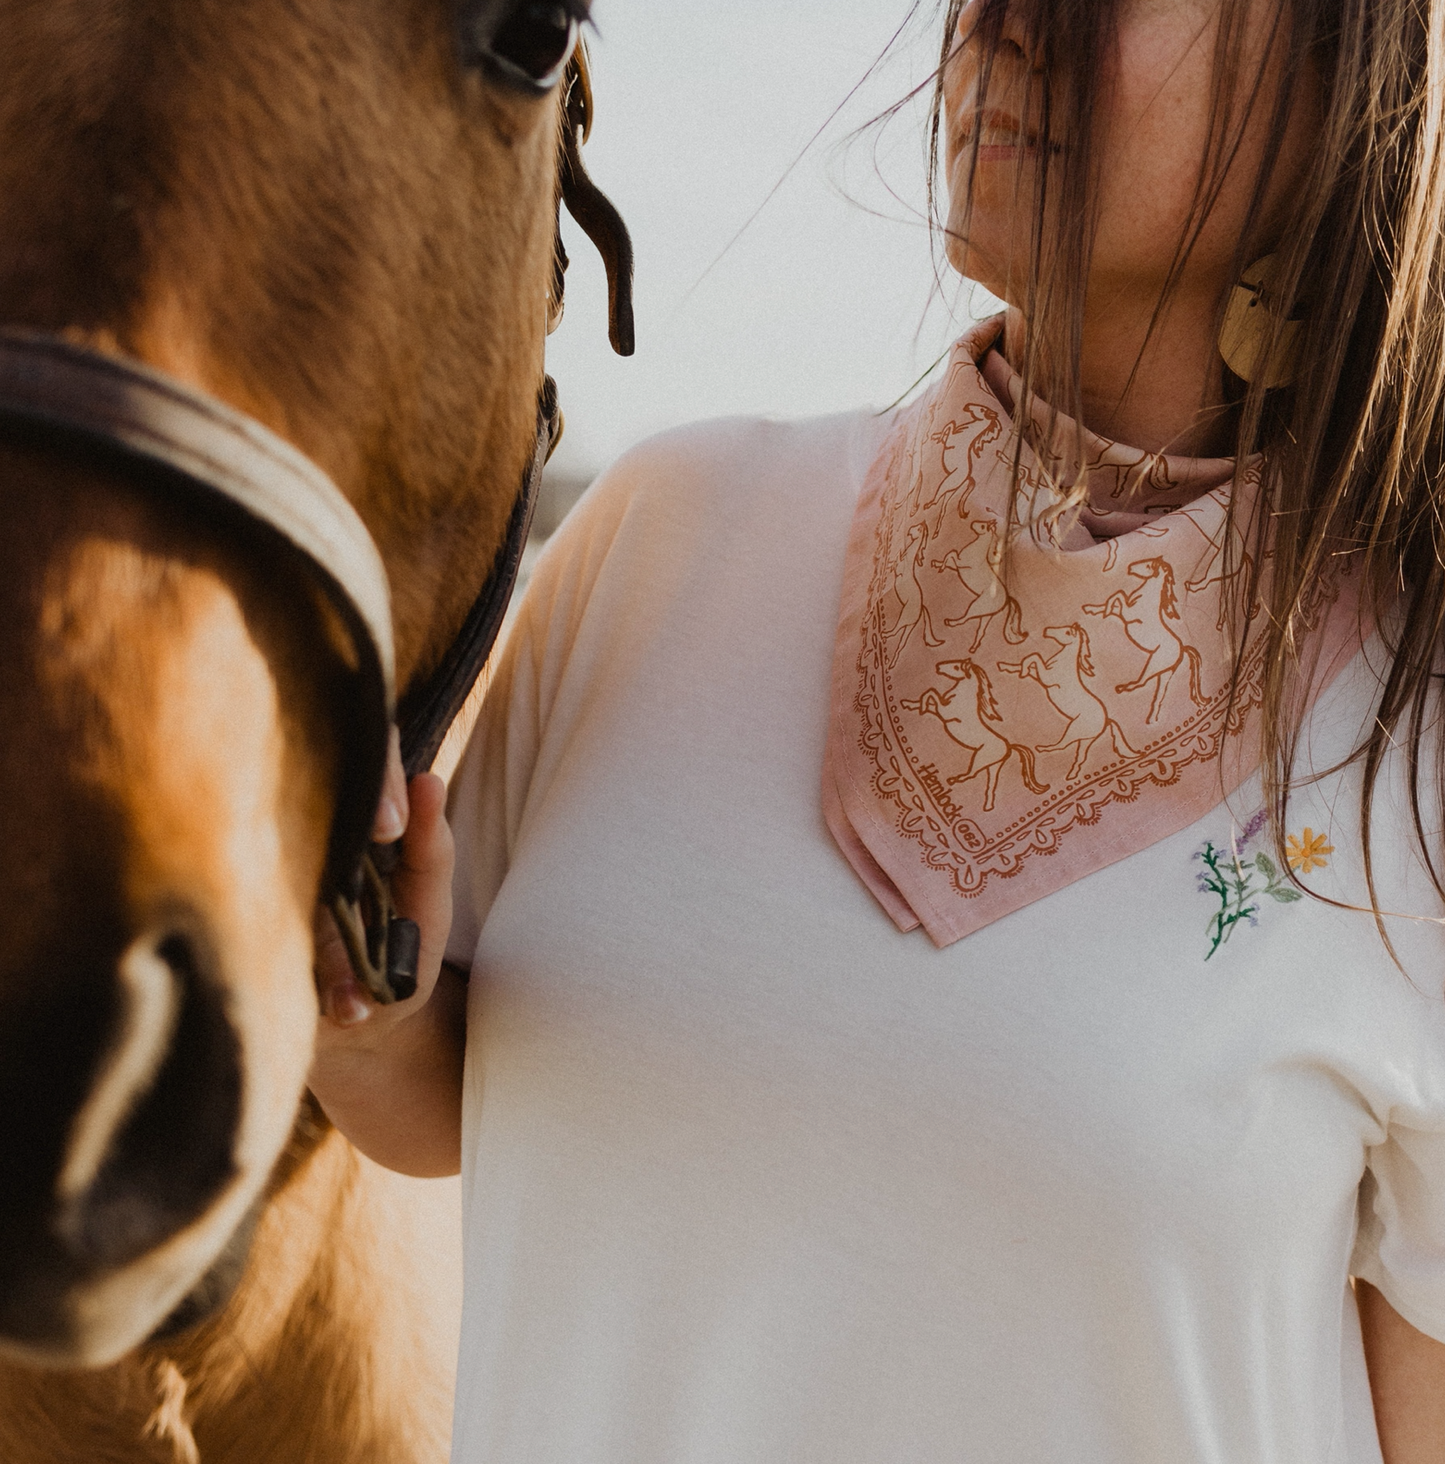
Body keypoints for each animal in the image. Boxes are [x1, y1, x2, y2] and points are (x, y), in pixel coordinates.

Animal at [895, 661, 1042, 813]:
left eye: (956, 667)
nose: (938, 667)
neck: (962, 697)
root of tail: (1009, 746)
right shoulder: (940, 712)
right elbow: (929, 699)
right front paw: (909, 704)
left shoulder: (945, 713)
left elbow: (932, 694)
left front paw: (921, 707)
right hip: (993, 766)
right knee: (991, 786)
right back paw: (988, 806)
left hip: (980, 758)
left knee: (973, 774)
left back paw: (956, 780)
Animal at [936, 518, 1030, 650]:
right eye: (982, 523)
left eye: (982, 526)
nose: (972, 524)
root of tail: (1007, 598)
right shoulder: (958, 567)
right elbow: (950, 558)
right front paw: (937, 564)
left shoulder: (960, 564)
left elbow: (951, 554)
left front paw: (941, 567)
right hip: (986, 615)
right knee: (981, 631)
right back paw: (973, 647)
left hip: (977, 606)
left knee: (967, 618)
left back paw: (951, 622)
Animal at [1001, 623, 1136, 784]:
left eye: (1066, 632)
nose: (1046, 631)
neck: (1062, 662)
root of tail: (1106, 720)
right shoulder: (1041, 678)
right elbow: (1028, 661)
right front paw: (1007, 667)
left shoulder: (1047, 679)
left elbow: (1034, 657)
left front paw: (1021, 671)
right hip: (1086, 740)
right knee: (1080, 757)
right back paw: (1071, 775)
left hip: (1073, 730)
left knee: (1062, 746)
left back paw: (1044, 750)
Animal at [1083, 553, 1206, 720]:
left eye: (1148, 565)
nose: (1129, 567)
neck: (1145, 598)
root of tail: (1182, 648)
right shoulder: (1123, 613)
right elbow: (1113, 600)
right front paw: (1091, 609)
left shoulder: (1128, 615)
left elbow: (1118, 596)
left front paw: (1105, 611)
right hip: (1165, 673)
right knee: (1159, 696)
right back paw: (1152, 717)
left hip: (1154, 664)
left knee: (1142, 683)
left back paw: (1124, 688)